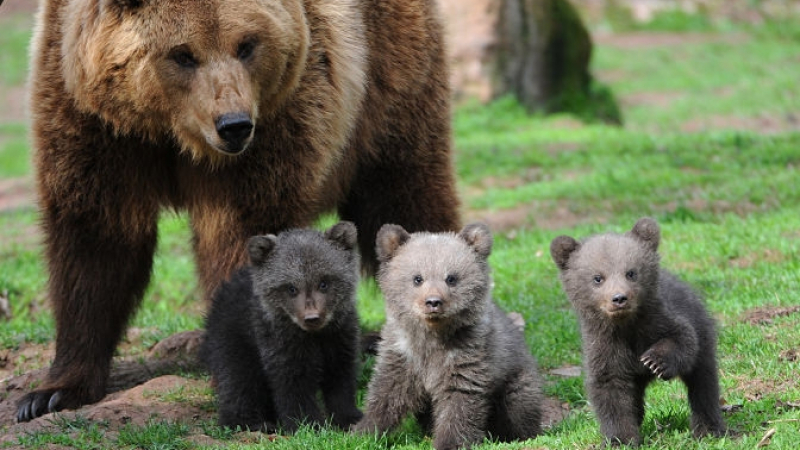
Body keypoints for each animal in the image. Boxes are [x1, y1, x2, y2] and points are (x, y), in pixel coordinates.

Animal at [15, 0, 460, 422]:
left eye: (246, 45)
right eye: (183, 54)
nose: (234, 124)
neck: (170, 131)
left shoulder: (273, 127)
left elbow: (243, 234)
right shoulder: (94, 123)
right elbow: (95, 241)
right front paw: (51, 392)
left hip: (387, 81)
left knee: (403, 193)